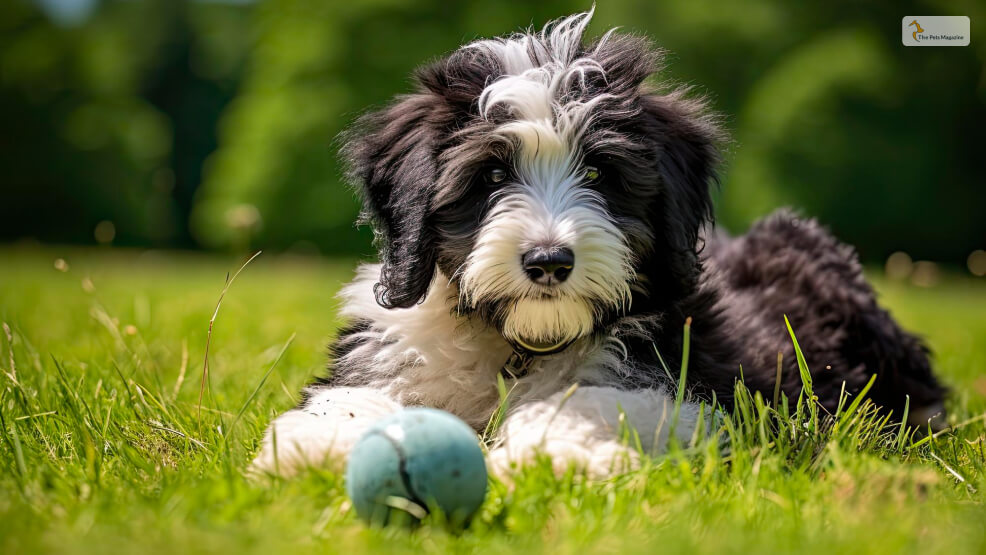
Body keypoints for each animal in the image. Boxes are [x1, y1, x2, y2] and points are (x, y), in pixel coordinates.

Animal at [250, 7, 940, 478]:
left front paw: (546, 449)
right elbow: (352, 397)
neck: (518, 344)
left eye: (601, 174)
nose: (548, 261)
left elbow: (595, 400)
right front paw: (321, 444)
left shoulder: (708, 391)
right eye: (491, 176)